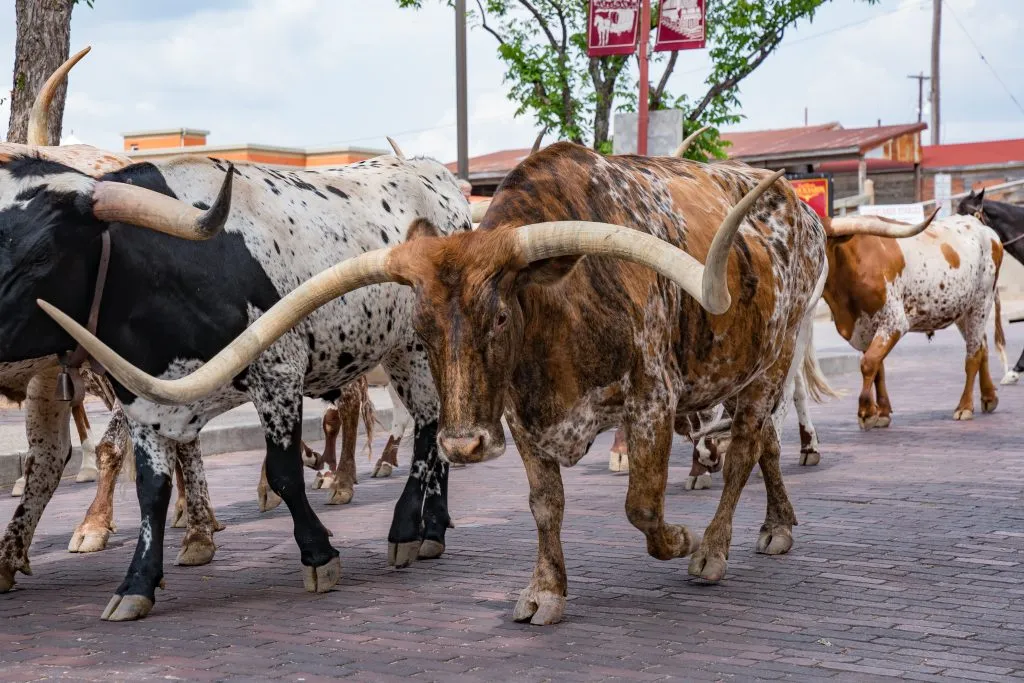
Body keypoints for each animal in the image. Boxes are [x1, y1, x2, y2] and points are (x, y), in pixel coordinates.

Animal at [54, 145, 937, 630]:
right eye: (422, 322)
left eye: (500, 311)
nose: (461, 440)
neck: (563, 313)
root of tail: (796, 207)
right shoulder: (522, 419)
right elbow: (546, 506)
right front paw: (544, 593)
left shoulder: (652, 399)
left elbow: (640, 505)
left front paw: (678, 540)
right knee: (765, 448)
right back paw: (776, 525)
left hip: (768, 361)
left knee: (751, 443)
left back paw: (716, 547)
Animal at [819, 214, 1003, 428]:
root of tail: (982, 227)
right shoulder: (865, 328)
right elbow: (878, 368)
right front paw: (882, 412)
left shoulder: (893, 322)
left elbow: (869, 363)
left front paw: (866, 412)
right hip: (963, 310)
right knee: (982, 346)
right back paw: (989, 397)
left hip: (981, 302)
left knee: (973, 355)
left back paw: (964, 407)